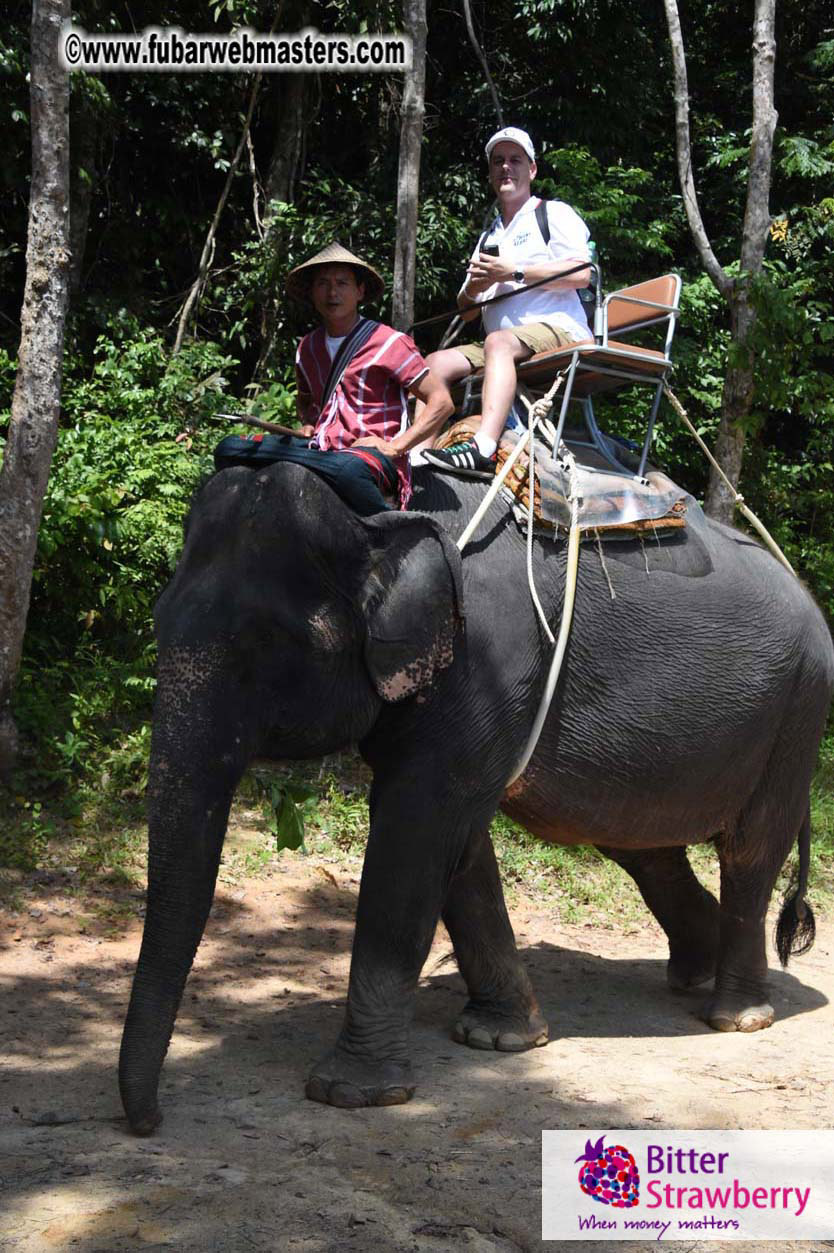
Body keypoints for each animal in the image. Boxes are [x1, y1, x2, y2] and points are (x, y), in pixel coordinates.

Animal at [119, 459, 834, 1132]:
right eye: (156, 618)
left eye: (266, 644)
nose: (150, 1121)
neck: (379, 512)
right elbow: (457, 846)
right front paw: (499, 1039)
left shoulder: (487, 661)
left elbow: (417, 828)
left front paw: (352, 1093)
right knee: (641, 844)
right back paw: (692, 974)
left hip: (798, 715)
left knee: (750, 854)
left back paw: (737, 1016)